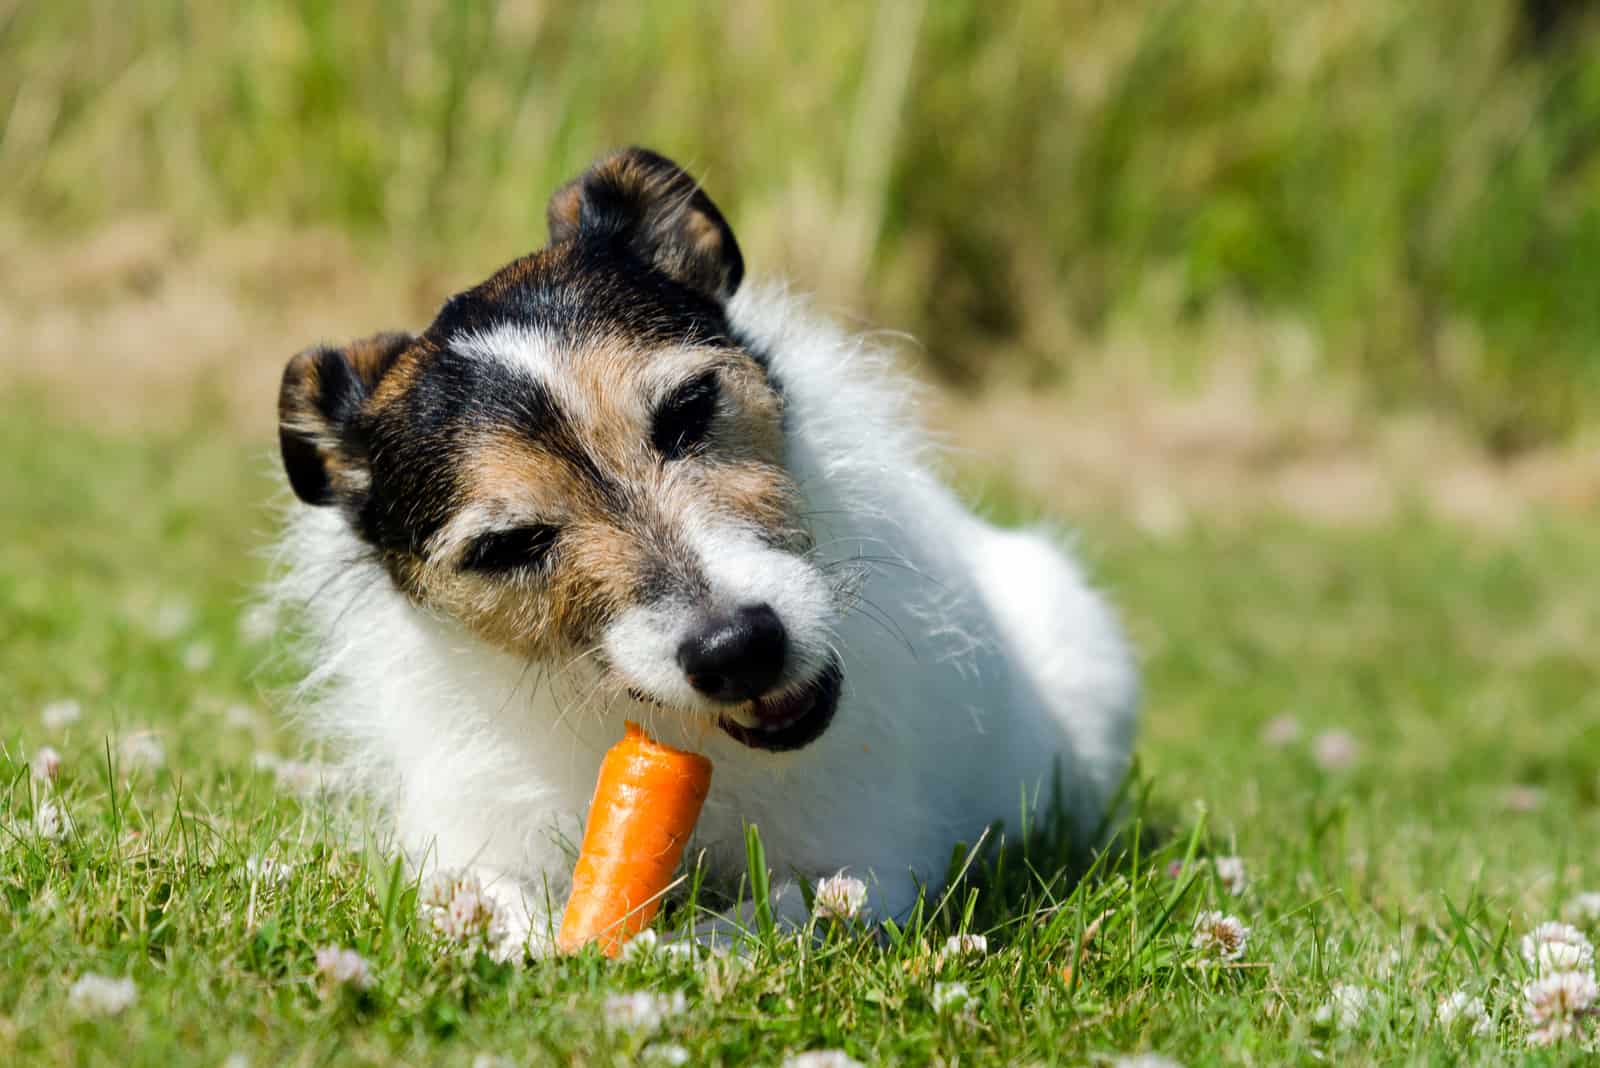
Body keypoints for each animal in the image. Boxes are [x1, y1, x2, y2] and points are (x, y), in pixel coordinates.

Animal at [272, 146, 1139, 952]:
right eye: (507, 545)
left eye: (689, 408)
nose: (739, 648)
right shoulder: (469, 842)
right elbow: (483, 896)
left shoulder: (870, 862)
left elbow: (774, 917)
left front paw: (672, 953)